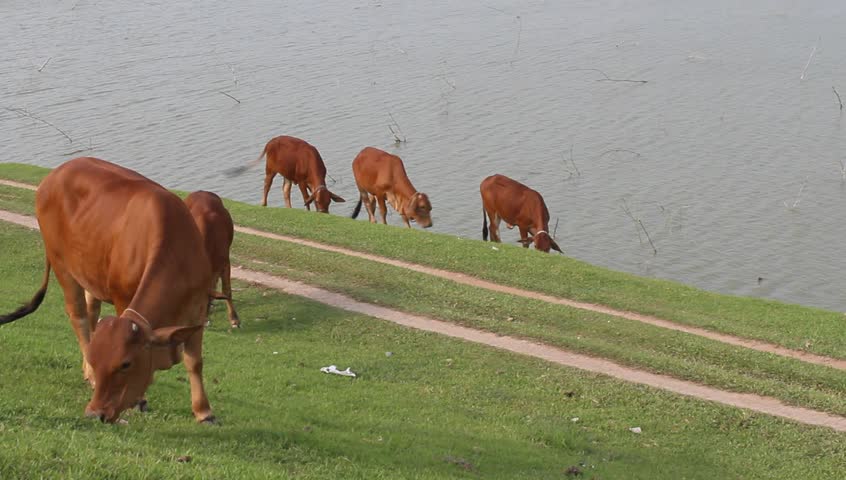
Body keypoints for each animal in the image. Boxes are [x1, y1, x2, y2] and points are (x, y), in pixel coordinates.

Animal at [0, 157, 217, 424]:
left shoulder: (198, 307)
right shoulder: (123, 297)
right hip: (61, 263)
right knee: (78, 315)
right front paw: (140, 400)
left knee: (91, 310)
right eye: (99, 362)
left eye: (125, 364)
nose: (94, 413)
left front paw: (204, 411)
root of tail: (56, 173)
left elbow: (194, 361)